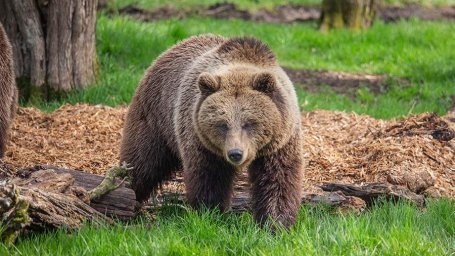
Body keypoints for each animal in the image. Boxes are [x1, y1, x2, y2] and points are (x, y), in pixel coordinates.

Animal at [121, 34, 304, 228]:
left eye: (249, 123)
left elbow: (277, 178)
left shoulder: (280, 142)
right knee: (143, 161)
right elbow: (210, 178)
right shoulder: (201, 141)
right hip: (156, 118)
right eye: (222, 124)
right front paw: (210, 214)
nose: (235, 153)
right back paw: (128, 197)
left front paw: (276, 222)